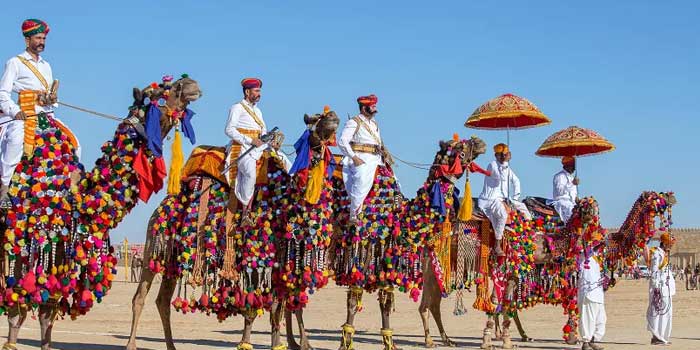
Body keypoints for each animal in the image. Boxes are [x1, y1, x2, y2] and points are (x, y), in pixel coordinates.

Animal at [0, 76, 202, 350]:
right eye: (160, 91)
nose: (190, 84)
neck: (74, 197)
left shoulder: (60, 246)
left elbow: (46, 311)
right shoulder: (24, 238)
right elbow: (16, 307)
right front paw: (10, 343)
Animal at [127, 107, 344, 350]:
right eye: (315, 121)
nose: (333, 116)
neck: (285, 203)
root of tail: (160, 208)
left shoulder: (281, 263)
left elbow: (281, 306)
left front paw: (292, 344)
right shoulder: (258, 256)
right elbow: (265, 307)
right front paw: (260, 343)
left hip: (172, 259)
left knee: (162, 300)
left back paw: (172, 346)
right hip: (153, 246)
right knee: (140, 297)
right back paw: (131, 345)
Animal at [418, 191, 676, 350]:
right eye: (655, 196)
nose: (672, 196)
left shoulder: (515, 272)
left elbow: (506, 304)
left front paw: (506, 340)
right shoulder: (510, 267)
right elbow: (498, 302)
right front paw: (489, 340)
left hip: (437, 268)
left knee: (431, 304)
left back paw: (445, 340)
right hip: (436, 266)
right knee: (429, 304)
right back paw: (433, 340)